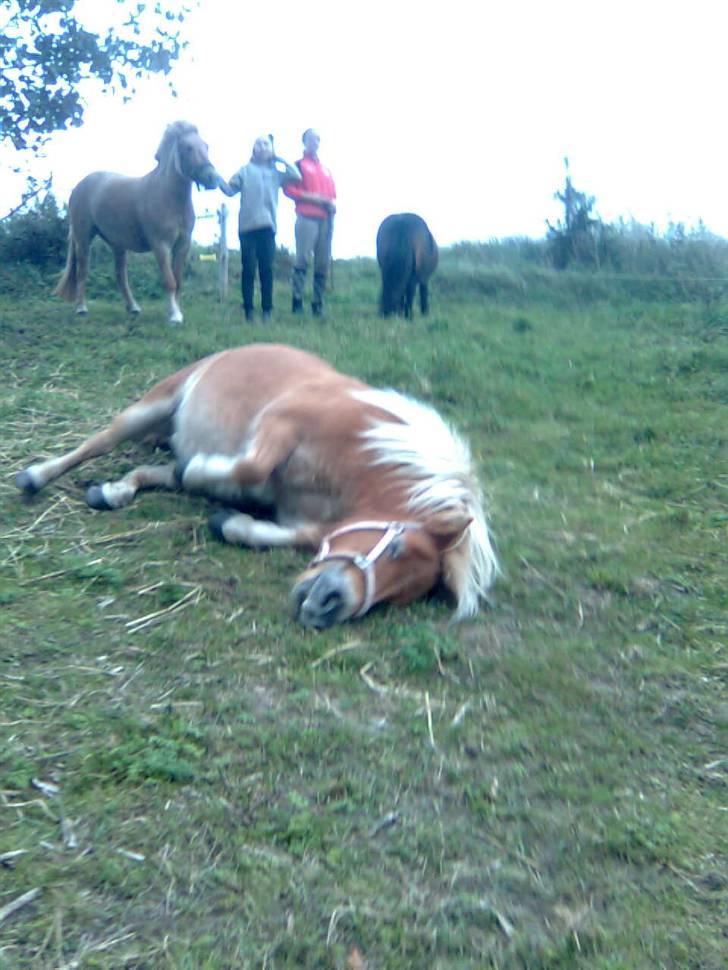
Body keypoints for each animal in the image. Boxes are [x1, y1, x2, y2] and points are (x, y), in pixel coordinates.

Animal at [17, 340, 498, 628]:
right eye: (396, 546)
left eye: (397, 598)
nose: (329, 605)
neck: (361, 452)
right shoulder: (280, 424)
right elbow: (250, 466)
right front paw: (207, 473)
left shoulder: (313, 522)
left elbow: (288, 533)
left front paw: (230, 521)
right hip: (152, 405)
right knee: (99, 442)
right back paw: (38, 475)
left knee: (155, 474)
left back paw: (115, 491)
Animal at [54, 120, 220, 326]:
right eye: (188, 148)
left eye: (206, 146)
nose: (213, 178)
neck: (169, 197)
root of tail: (78, 187)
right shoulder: (161, 246)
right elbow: (169, 280)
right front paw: (174, 316)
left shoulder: (183, 245)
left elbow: (178, 280)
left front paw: (176, 312)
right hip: (83, 238)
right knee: (82, 271)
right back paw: (81, 308)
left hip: (118, 244)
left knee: (120, 276)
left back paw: (133, 307)